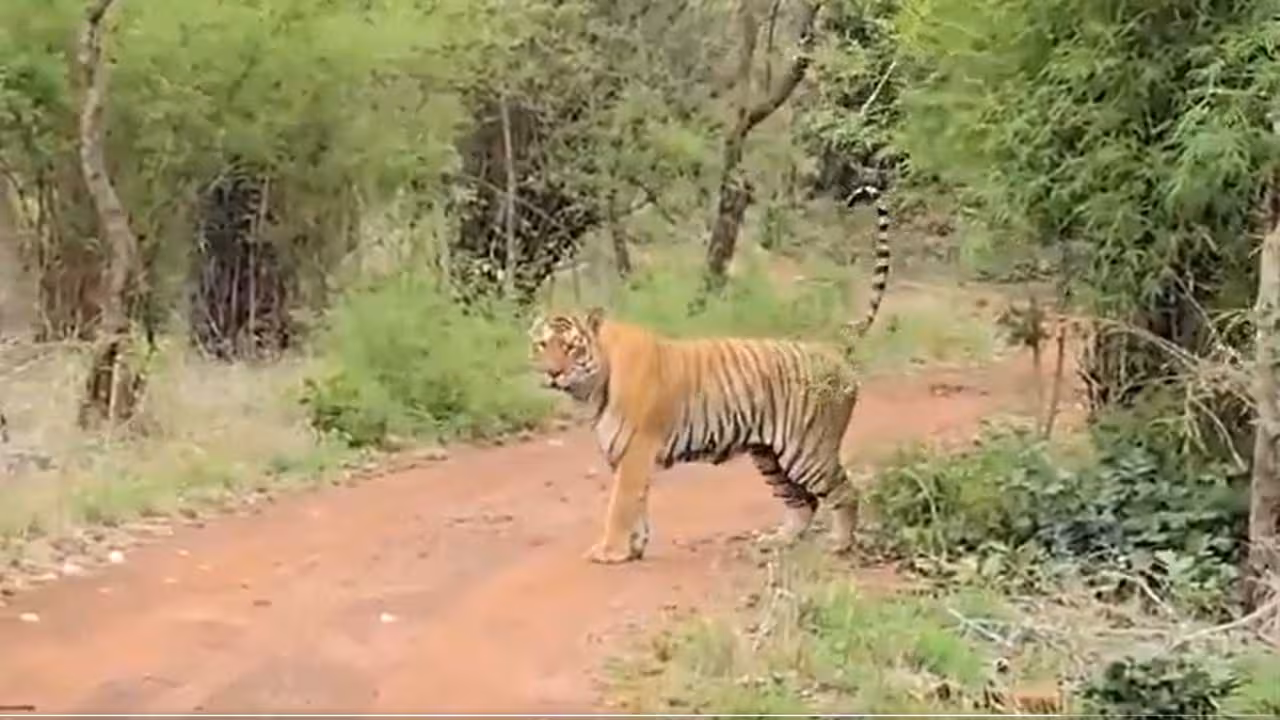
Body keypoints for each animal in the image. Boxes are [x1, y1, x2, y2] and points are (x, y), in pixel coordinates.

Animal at [529, 185, 893, 564]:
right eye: (542, 344)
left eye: (571, 347)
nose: (552, 373)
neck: (591, 389)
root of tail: (833, 344)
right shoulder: (626, 457)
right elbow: (637, 505)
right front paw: (634, 547)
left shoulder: (635, 452)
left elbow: (621, 506)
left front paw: (609, 551)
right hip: (770, 455)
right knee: (802, 502)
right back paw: (777, 541)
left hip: (808, 450)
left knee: (845, 492)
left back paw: (839, 544)